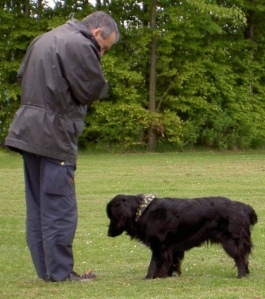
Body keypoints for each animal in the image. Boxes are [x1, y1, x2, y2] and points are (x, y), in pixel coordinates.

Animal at [106, 196, 256, 280]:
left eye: (111, 216)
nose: (108, 233)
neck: (143, 210)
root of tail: (245, 207)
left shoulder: (160, 246)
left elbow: (154, 263)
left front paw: (150, 277)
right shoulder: (171, 249)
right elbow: (170, 263)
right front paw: (166, 275)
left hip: (232, 241)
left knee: (240, 258)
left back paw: (241, 275)